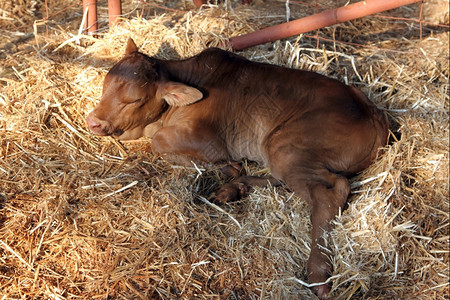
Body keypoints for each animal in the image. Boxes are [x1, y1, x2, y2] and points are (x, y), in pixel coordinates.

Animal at [87, 38, 386, 298]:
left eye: (135, 100)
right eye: (105, 85)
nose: (94, 122)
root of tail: (374, 113)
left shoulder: (208, 139)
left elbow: (159, 142)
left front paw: (227, 167)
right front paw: (231, 175)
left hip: (288, 145)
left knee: (330, 191)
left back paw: (319, 274)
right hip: (282, 151)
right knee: (286, 180)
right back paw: (233, 189)